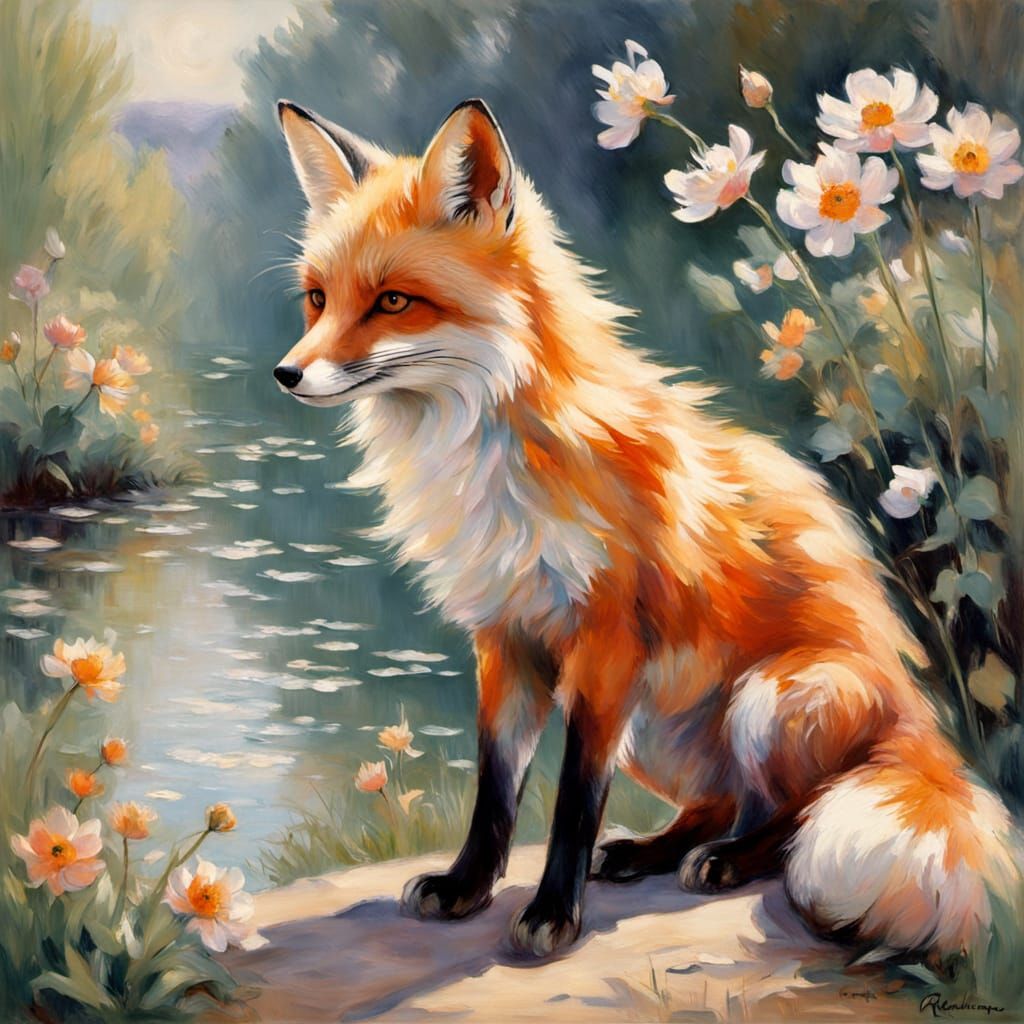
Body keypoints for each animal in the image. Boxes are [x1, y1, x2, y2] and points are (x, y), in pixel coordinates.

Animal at [271, 96, 1022, 964]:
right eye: (317, 299)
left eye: (393, 302)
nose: (286, 374)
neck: (496, 462)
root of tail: (922, 725)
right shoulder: (504, 638)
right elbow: (496, 791)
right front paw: (466, 887)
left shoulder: (606, 645)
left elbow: (572, 799)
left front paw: (552, 915)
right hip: (660, 731)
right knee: (723, 801)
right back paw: (648, 851)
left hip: (769, 696)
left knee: (793, 814)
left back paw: (726, 862)